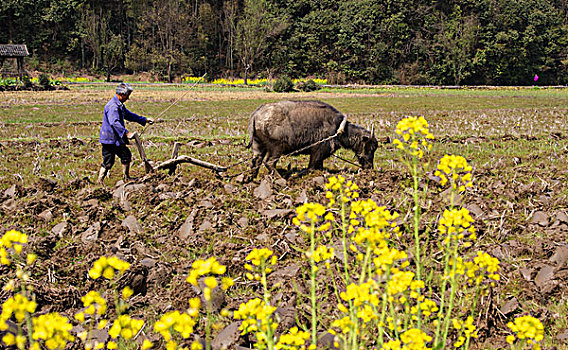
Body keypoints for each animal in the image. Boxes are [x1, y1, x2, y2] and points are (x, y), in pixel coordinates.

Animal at [245, 99, 374, 179]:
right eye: (371, 148)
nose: (370, 168)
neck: (339, 127)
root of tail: (256, 114)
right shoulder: (318, 150)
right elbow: (311, 167)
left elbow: (318, 166)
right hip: (277, 148)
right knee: (269, 162)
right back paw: (281, 179)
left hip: (258, 145)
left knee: (256, 161)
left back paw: (250, 179)